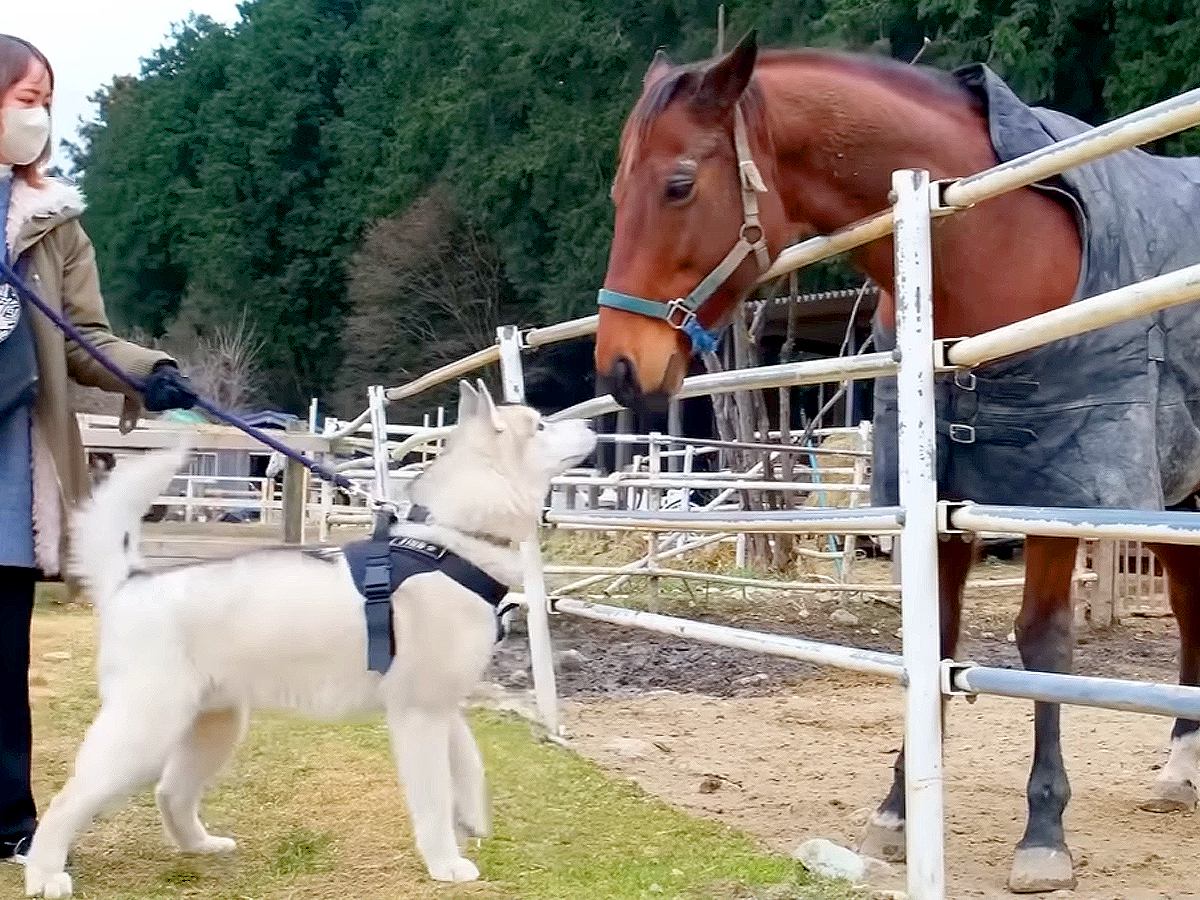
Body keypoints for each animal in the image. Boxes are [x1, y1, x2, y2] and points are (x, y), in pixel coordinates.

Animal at [23, 381, 595, 900]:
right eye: (541, 426)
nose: (594, 422)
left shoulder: (443, 706)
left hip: (216, 727)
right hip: (143, 733)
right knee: (67, 802)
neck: (452, 544)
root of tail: (130, 583)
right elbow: (434, 799)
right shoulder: (419, 715)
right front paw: (445, 863)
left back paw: (200, 846)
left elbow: (469, 765)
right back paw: (44, 874)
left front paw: (473, 819)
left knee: (170, 792)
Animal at [592, 33, 1200, 897]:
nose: (619, 369)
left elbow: (1043, 641)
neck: (993, 244)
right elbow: (935, 639)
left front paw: (1044, 833)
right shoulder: (940, 496)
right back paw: (1180, 767)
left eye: (678, 184)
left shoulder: (1055, 488)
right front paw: (897, 811)